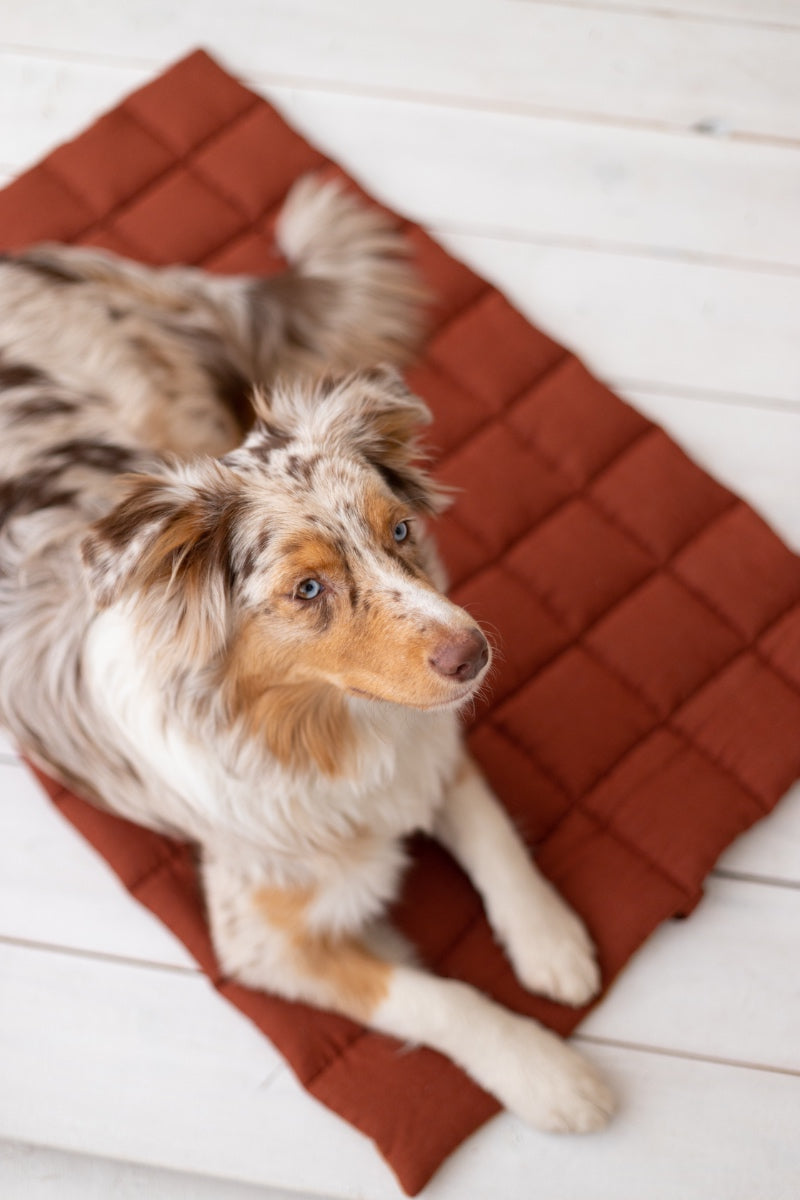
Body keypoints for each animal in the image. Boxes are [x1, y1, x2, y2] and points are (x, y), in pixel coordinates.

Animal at [0, 175, 614, 1132]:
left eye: (400, 531)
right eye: (308, 590)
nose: (474, 654)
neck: (326, 726)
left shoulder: (432, 745)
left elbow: (492, 833)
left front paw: (548, 939)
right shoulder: (260, 940)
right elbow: (434, 998)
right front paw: (549, 1075)